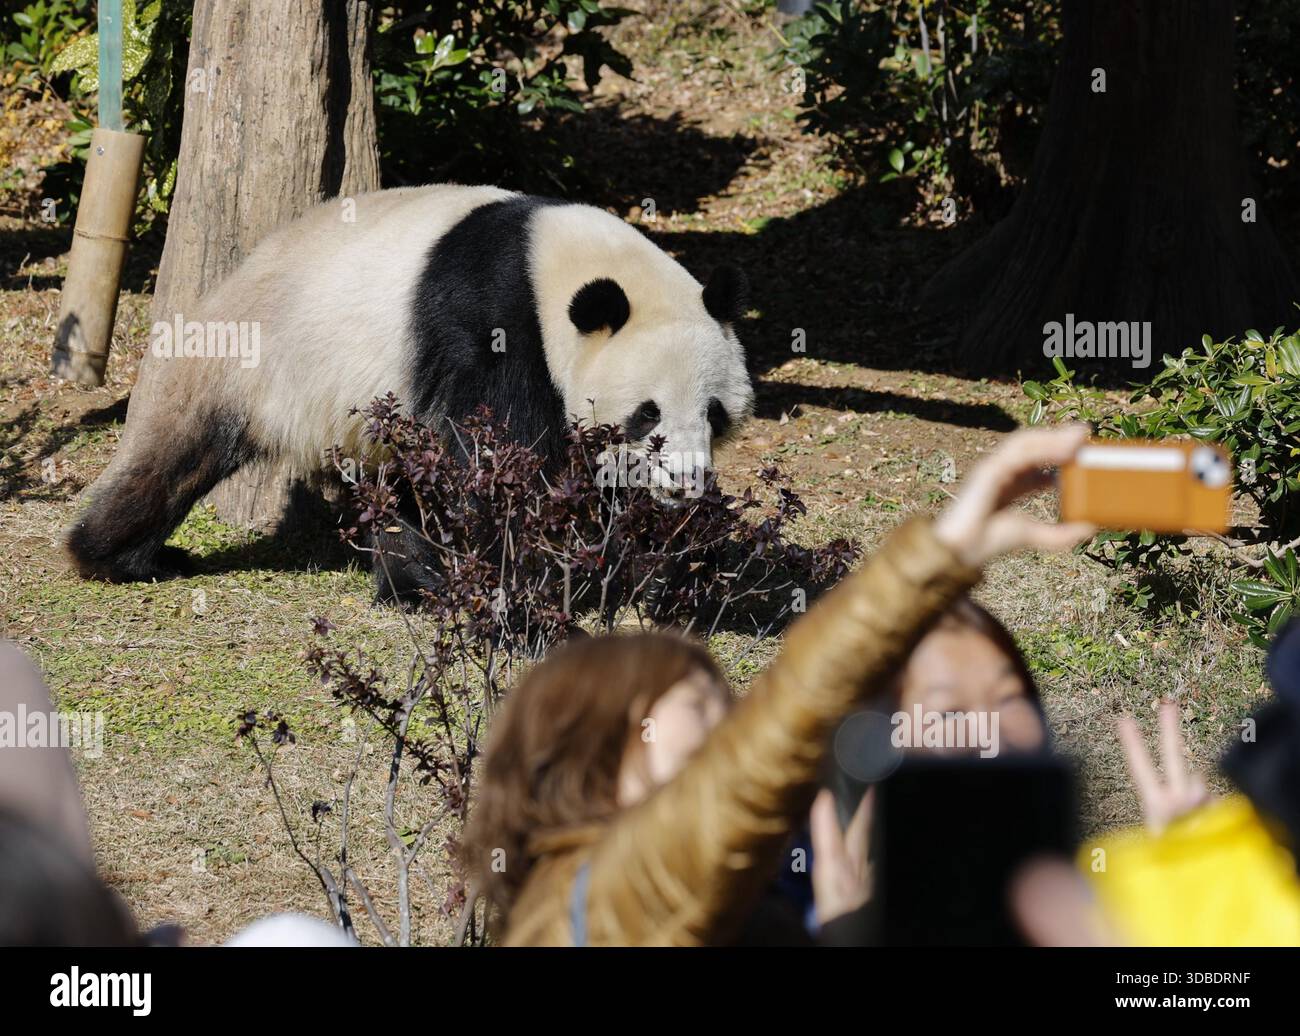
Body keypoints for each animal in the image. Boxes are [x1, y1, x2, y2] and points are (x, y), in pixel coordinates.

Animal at [65, 184, 755, 601]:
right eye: (647, 414)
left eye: (714, 414)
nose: (686, 482)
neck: (556, 266)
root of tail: (235, 275)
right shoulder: (491, 321)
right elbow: (497, 454)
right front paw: (532, 572)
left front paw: (650, 568)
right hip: (251, 357)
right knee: (175, 456)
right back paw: (117, 558)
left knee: (395, 489)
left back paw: (413, 584)